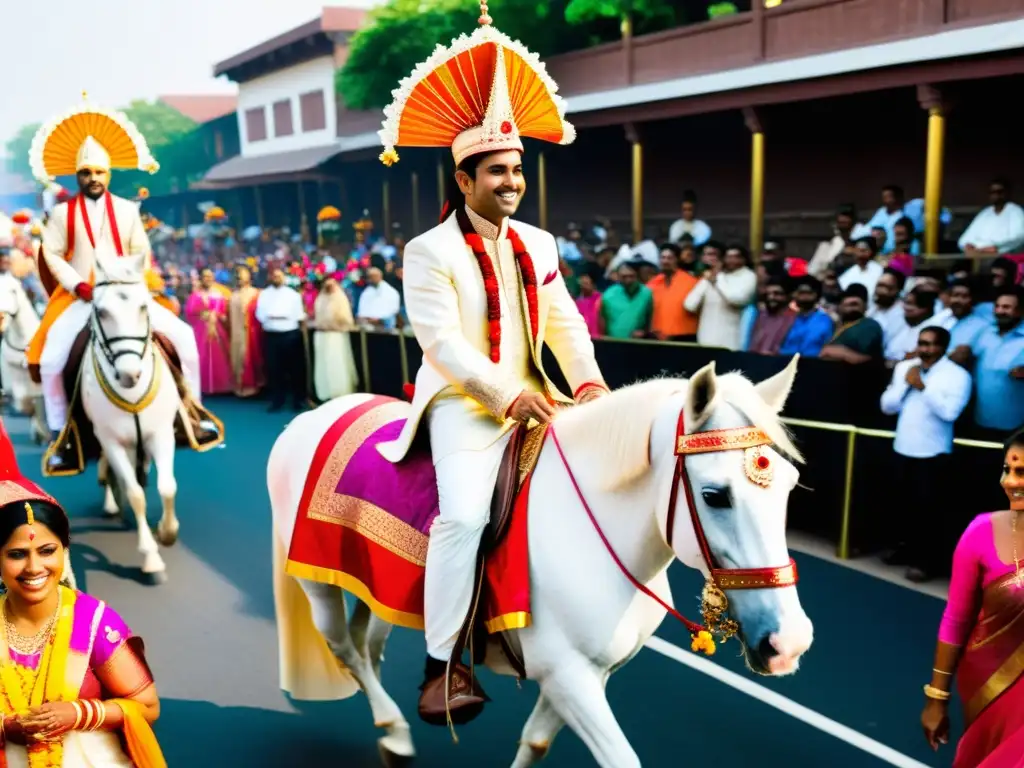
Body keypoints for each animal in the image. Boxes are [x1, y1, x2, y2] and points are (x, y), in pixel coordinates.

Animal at [82, 250, 183, 581]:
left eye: (143, 306)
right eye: (101, 311)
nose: (129, 375)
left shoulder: (160, 433)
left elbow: (167, 486)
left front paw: (167, 531)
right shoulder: (111, 440)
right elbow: (135, 493)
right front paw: (151, 556)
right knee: (115, 475)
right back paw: (113, 503)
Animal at [270, 358, 815, 765]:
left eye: (789, 485)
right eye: (714, 495)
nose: (789, 643)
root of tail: (317, 414)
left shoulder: (586, 674)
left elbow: (535, 742)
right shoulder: (568, 674)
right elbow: (621, 758)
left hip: (373, 584)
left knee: (368, 642)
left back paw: (391, 732)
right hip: (318, 582)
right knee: (345, 647)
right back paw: (395, 726)